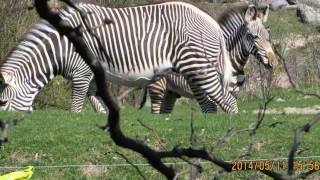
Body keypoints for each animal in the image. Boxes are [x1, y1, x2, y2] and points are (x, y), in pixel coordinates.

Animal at [140, 4, 278, 113]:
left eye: (268, 35)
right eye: (253, 36)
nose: (274, 62)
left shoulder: (234, 92)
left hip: (171, 92)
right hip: (157, 89)